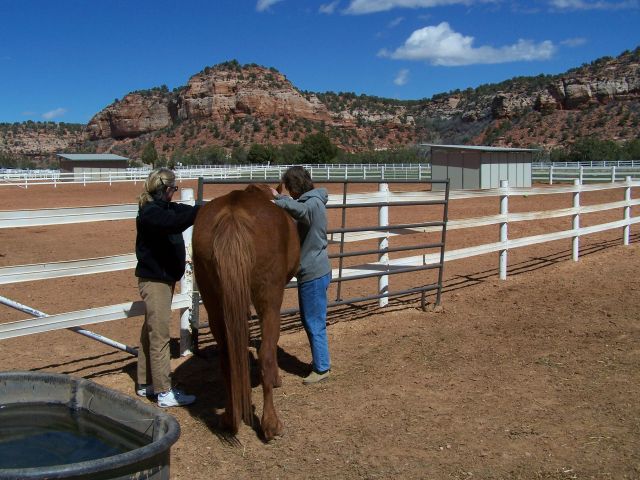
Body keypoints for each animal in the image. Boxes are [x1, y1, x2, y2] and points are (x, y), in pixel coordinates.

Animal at [192, 186, 300, 440]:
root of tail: (232, 215)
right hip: (269, 303)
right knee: (266, 354)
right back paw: (271, 424)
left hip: (214, 304)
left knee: (227, 358)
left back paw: (229, 417)